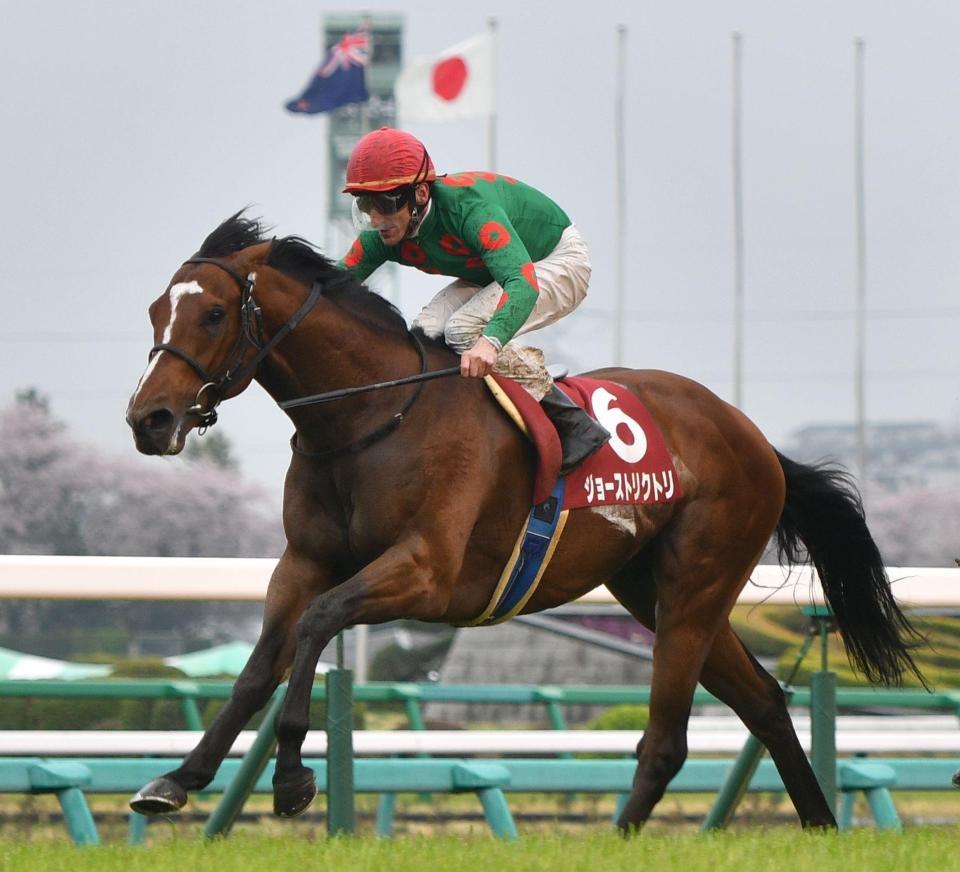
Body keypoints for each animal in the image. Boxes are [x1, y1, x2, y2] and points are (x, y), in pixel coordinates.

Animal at [125, 211, 923, 832]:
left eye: (214, 313)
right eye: (156, 310)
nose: (148, 419)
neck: (369, 417)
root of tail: (755, 439)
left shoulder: (427, 571)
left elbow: (317, 625)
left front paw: (291, 778)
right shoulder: (305, 561)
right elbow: (260, 665)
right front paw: (177, 780)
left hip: (696, 584)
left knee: (668, 740)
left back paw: (621, 839)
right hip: (652, 589)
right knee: (762, 701)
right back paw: (819, 826)